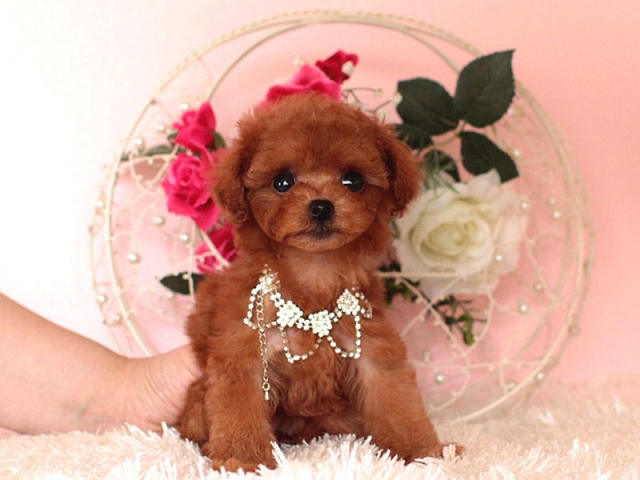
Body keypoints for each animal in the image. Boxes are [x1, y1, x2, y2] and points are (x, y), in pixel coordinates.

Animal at [176, 93, 460, 472]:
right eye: (282, 182)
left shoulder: (371, 345)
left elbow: (395, 399)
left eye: (353, 180)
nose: (321, 206)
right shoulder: (243, 351)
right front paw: (243, 458)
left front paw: (424, 453)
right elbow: (238, 407)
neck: (314, 270)